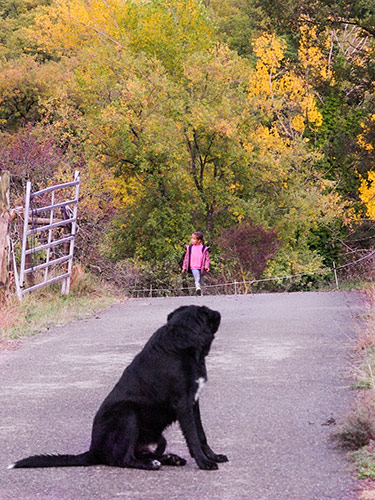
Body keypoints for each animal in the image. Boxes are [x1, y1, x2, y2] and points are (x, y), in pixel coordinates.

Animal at [9, 302, 229, 470]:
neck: (182, 340)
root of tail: (93, 451)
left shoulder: (194, 403)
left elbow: (201, 434)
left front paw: (213, 456)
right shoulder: (183, 404)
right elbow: (193, 436)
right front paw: (204, 462)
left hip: (158, 438)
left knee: (139, 454)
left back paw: (168, 458)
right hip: (127, 414)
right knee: (123, 459)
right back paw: (151, 465)